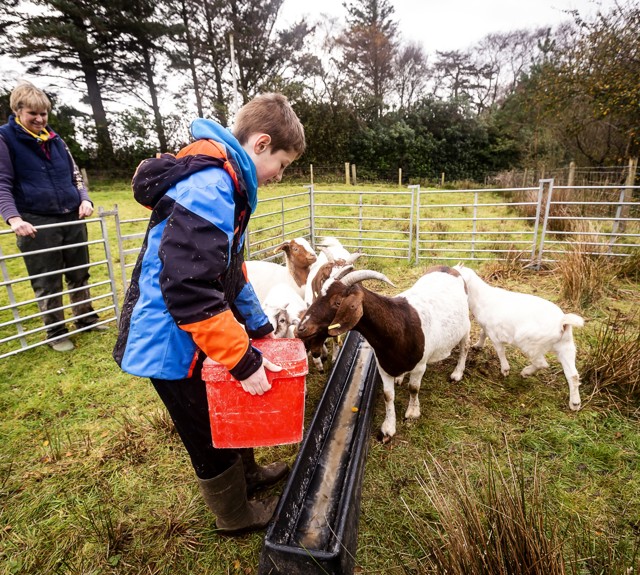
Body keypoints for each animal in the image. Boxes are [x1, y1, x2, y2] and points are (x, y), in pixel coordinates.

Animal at [296, 268, 470, 444]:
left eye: (338, 302)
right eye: (318, 296)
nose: (301, 329)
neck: (400, 326)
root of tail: (452, 268)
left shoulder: (420, 366)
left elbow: (413, 388)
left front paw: (412, 413)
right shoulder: (383, 366)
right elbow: (388, 396)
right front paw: (388, 428)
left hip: (466, 327)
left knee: (465, 347)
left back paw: (457, 373)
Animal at [456, 264, 584, 412]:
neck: (481, 299)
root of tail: (562, 322)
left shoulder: (495, 333)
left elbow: (500, 350)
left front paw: (505, 369)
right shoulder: (487, 327)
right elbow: (483, 333)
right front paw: (477, 346)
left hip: (531, 344)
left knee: (542, 363)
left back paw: (526, 372)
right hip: (566, 346)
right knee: (573, 375)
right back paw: (575, 404)